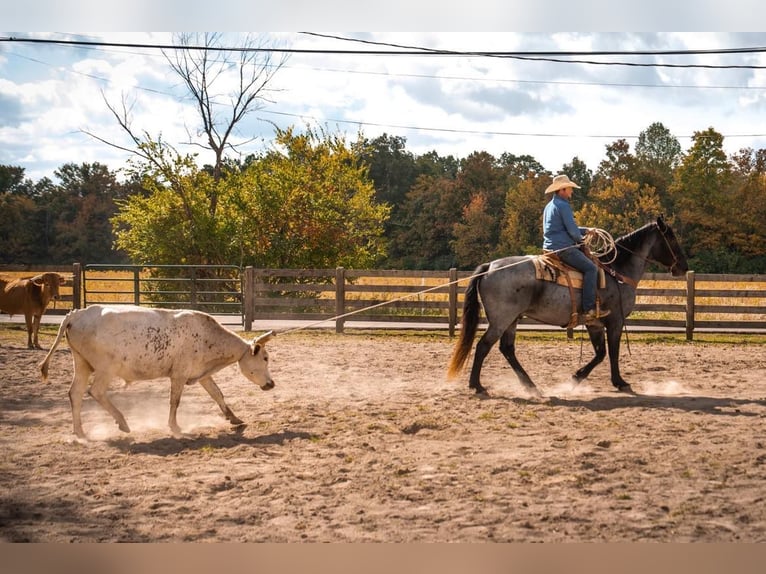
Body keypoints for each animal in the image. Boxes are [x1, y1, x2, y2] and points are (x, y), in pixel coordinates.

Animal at [39, 306, 278, 440]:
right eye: (265, 358)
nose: (271, 384)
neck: (206, 336)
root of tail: (76, 315)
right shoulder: (179, 374)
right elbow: (175, 401)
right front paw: (175, 427)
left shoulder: (201, 373)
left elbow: (217, 393)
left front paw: (234, 418)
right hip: (106, 368)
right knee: (95, 391)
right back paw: (122, 422)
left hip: (81, 363)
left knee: (75, 393)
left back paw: (80, 432)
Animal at [448, 216, 692, 396]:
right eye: (671, 238)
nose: (683, 266)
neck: (616, 271)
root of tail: (489, 267)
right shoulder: (615, 321)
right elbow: (612, 352)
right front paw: (620, 382)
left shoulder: (594, 324)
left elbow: (600, 353)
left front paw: (576, 378)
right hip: (501, 320)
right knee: (483, 346)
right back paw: (477, 386)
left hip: (512, 320)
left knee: (507, 349)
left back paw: (531, 386)